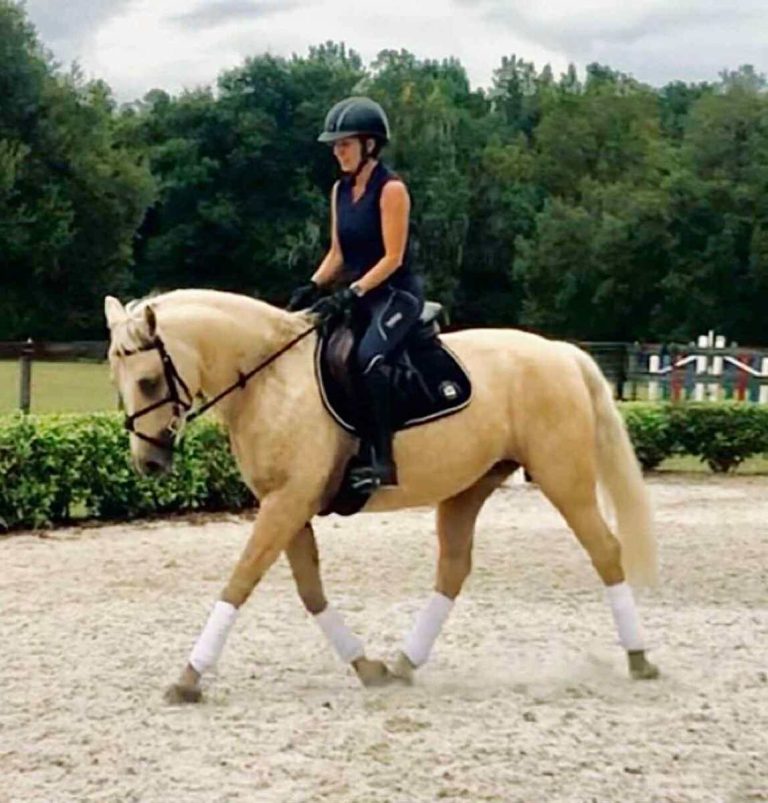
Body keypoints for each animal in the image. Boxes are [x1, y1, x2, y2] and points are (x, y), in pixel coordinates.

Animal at [104, 289, 659, 703]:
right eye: (118, 381)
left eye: (149, 381)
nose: (148, 462)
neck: (268, 379)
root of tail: (562, 352)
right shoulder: (287, 504)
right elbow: (310, 591)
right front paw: (365, 666)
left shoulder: (285, 503)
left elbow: (239, 582)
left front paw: (188, 678)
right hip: (469, 487)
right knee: (453, 569)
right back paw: (404, 663)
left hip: (564, 479)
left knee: (605, 551)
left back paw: (639, 659)